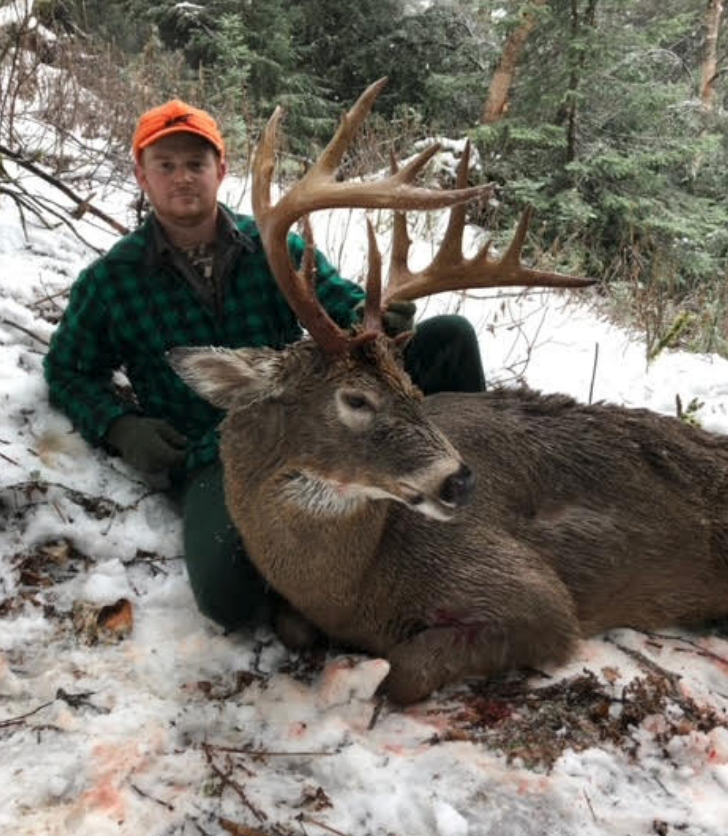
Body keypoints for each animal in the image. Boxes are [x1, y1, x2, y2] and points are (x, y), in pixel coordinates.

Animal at [169, 79, 728, 705]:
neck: (354, 589)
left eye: (413, 388)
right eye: (355, 399)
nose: (460, 480)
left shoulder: (535, 596)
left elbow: (403, 670)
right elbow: (295, 626)